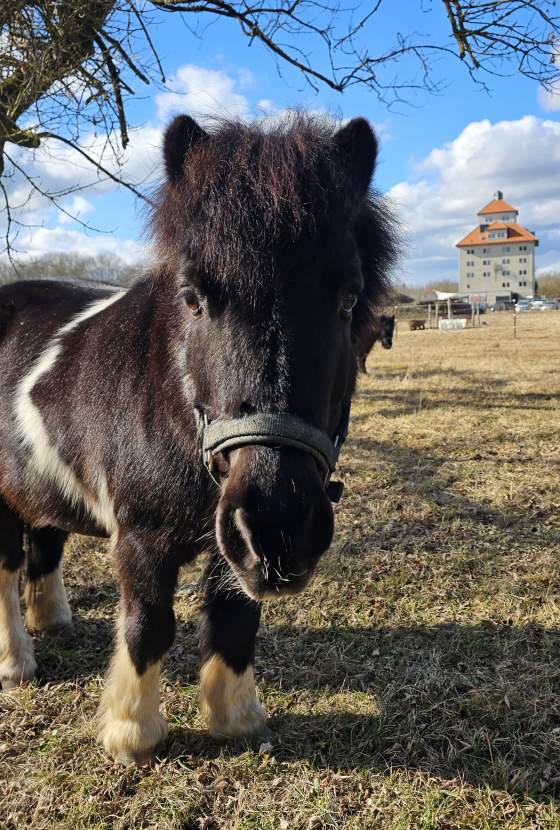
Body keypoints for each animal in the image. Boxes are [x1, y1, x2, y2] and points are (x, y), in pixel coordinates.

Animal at [0, 113, 397, 765]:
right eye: (193, 297)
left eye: (347, 298)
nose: (280, 524)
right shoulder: (142, 537)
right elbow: (148, 625)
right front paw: (132, 734)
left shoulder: (231, 546)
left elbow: (235, 621)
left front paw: (237, 720)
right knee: (8, 570)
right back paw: (16, 662)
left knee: (46, 543)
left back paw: (53, 620)